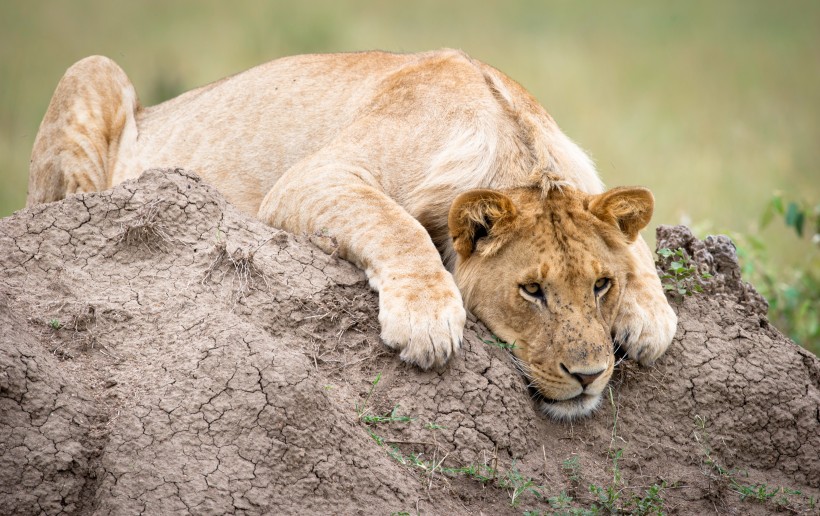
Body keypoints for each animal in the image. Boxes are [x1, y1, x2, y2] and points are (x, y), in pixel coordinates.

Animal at [28, 49, 676, 420]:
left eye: (601, 286)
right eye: (532, 291)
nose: (589, 376)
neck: (510, 136)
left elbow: (638, 247)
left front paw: (651, 316)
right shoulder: (312, 177)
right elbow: (397, 225)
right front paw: (426, 321)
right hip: (93, 71)